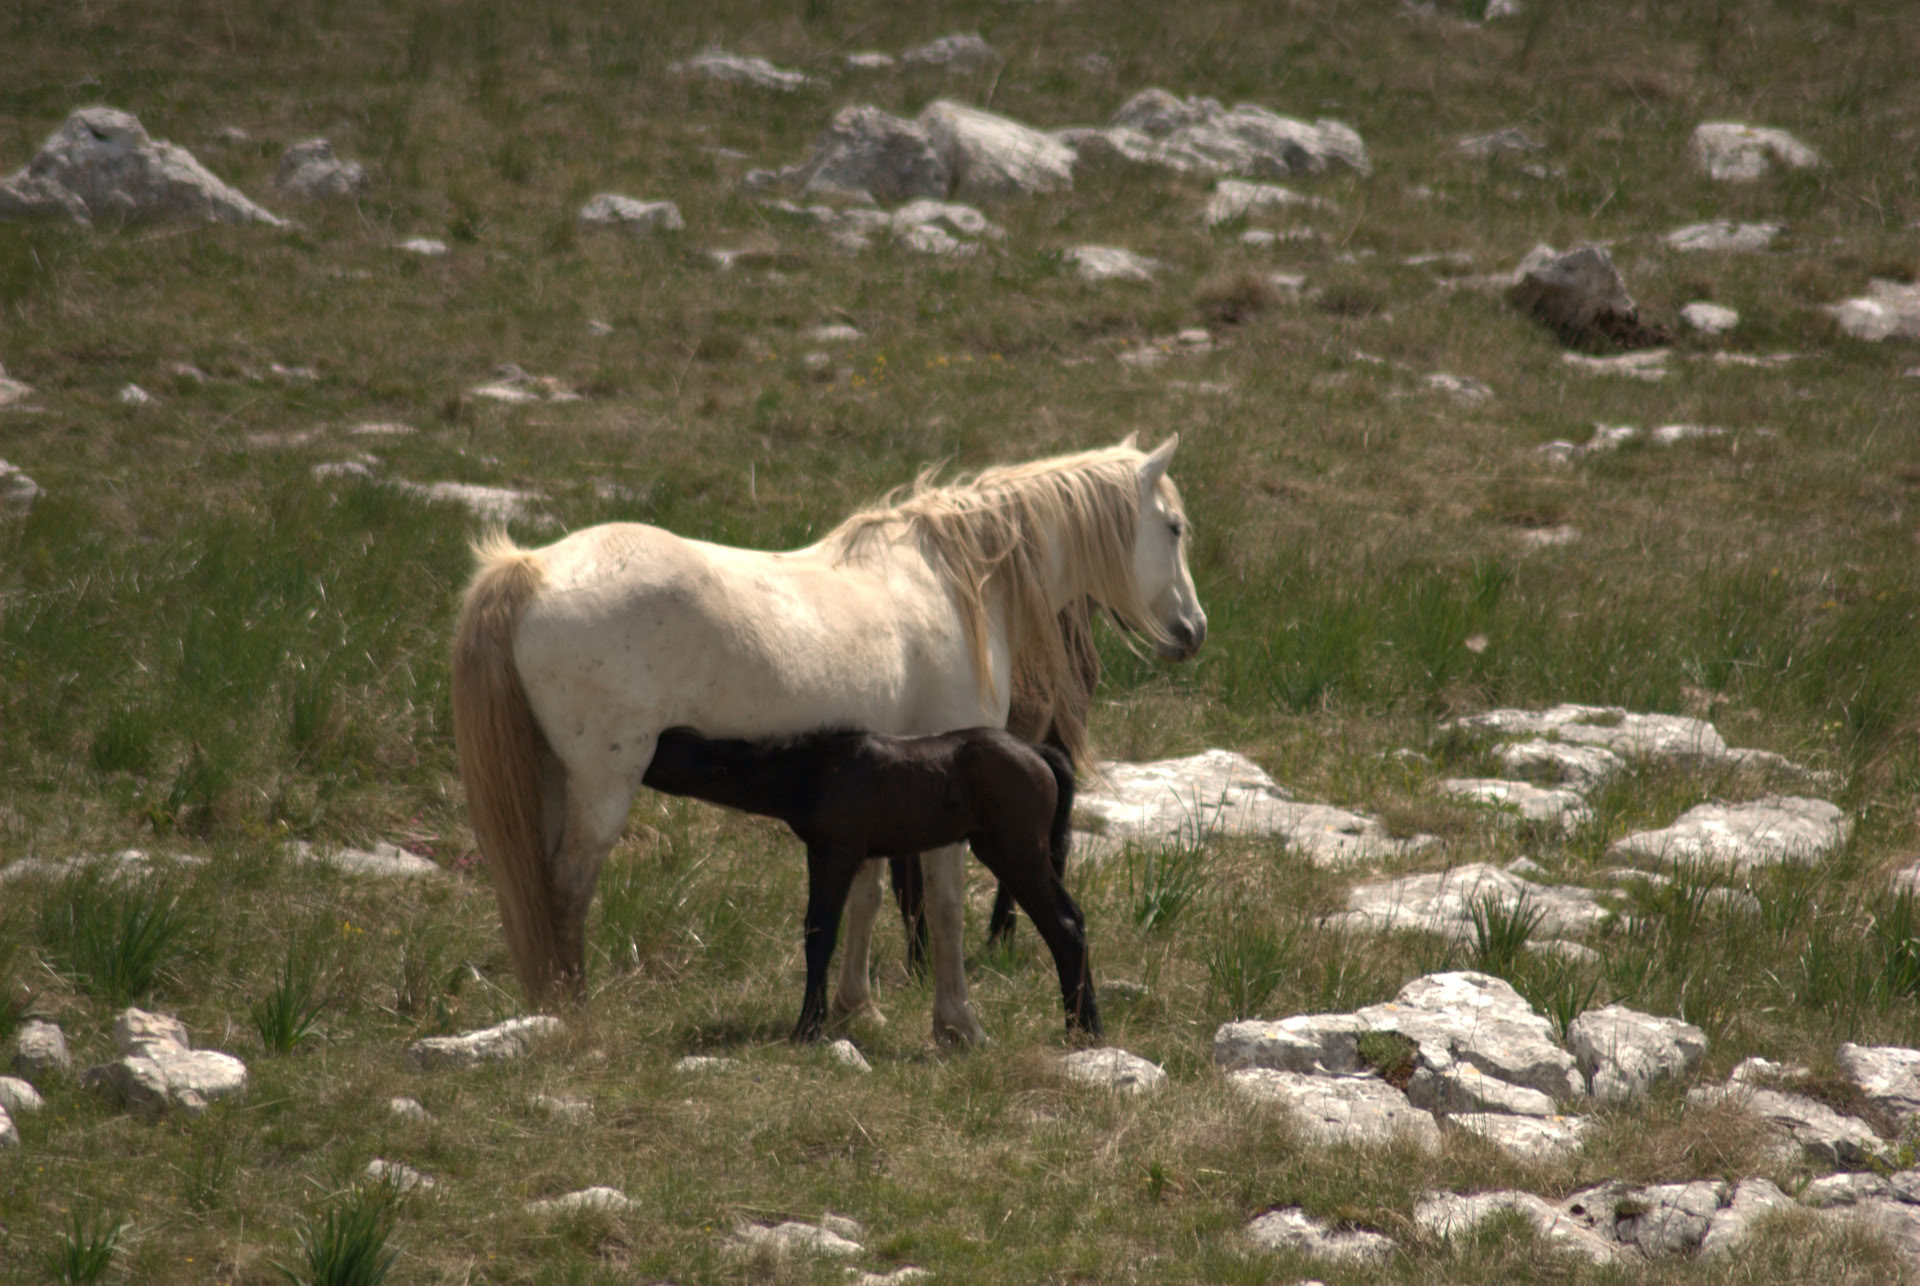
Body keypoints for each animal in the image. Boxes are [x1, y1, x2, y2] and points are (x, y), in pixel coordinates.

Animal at [640, 725, 1097, 1043]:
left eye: (663, 749)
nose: (633, 761)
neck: (816, 772)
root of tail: (1038, 754)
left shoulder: (840, 852)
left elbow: (822, 934)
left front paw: (807, 1028)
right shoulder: (820, 853)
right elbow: (816, 929)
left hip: (1016, 853)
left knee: (1064, 926)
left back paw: (1081, 1029)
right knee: (1072, 921)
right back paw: (1086, 1026)